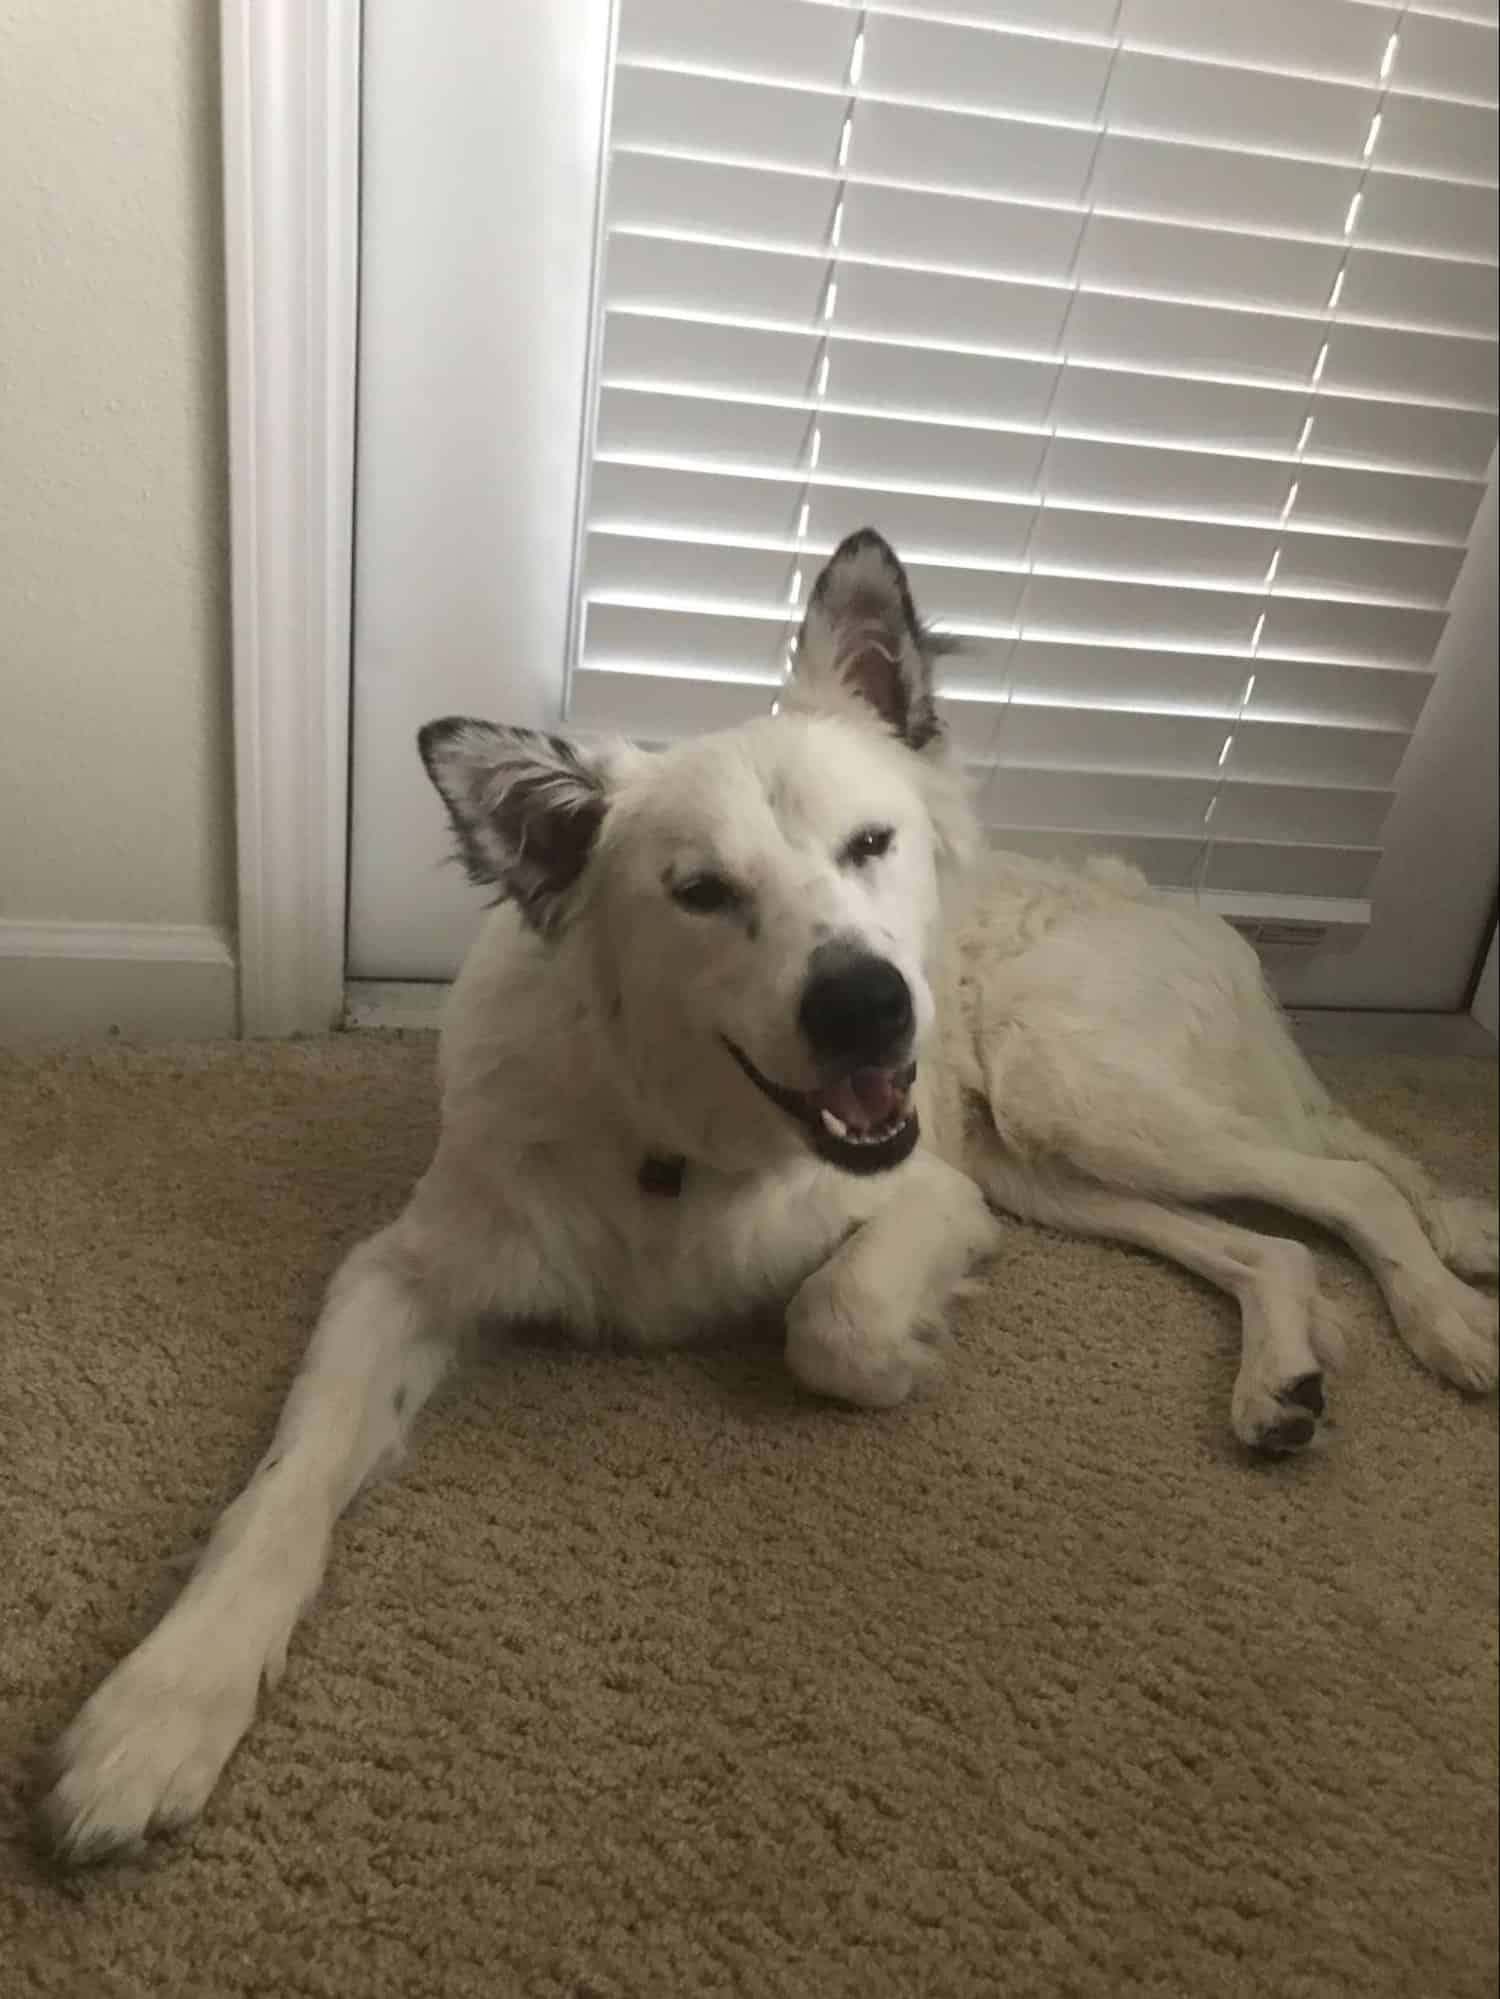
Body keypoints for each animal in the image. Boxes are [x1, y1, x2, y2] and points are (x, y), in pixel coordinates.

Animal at [41, 527, 1496, 1855]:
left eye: (871, 842)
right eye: (700, 891)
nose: (867, 1007)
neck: (680, 1136)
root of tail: (1174, 902)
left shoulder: (932, 1199)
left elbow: (831, 1321)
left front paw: (903, 1357)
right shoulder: (403, 1271)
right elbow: (284, 1484)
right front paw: (161, 1707)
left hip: (1078, 1095)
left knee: (1351, 1180)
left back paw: (1448, 1320)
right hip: (1052, 1166)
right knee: (1269, 1245)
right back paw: (1284, 1379)